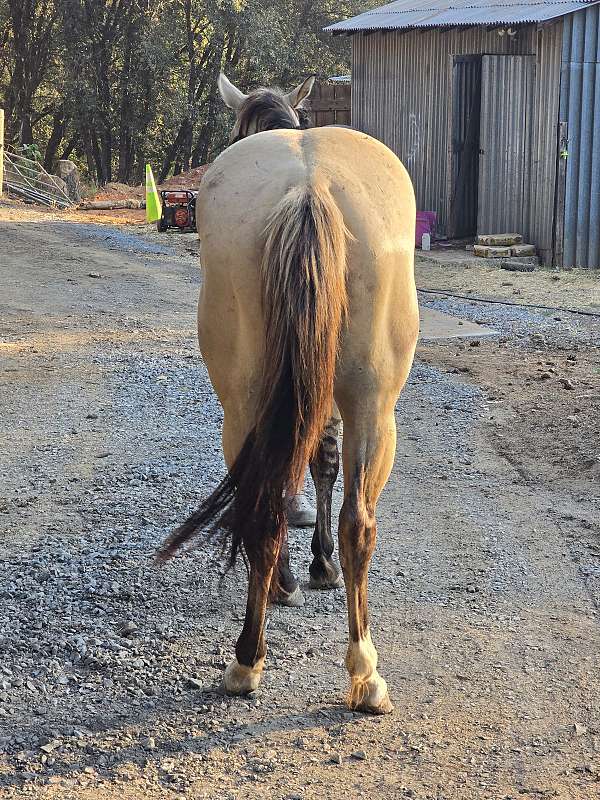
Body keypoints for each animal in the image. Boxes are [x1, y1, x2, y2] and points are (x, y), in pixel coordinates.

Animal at [158, 73, 419, 714]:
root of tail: (309, 187)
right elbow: (323, 467)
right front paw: (317, 566)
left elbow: (315, 465)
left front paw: (309, 569)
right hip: (373, 404)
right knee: (354, 520)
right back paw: (357, 671)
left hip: (245, 408)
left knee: (271, 505)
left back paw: (254, 657)